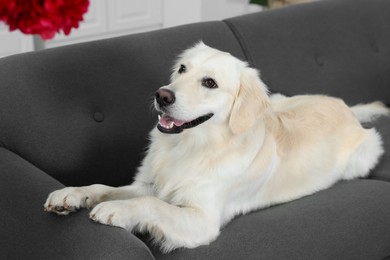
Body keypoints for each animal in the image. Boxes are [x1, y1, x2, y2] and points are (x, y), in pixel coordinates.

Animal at [44, 42, 388, 252]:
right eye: (182, 69)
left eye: (209, 83)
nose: (161, 95)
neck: (190, 146)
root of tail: (345, 106)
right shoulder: (149, 183)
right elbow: (106, 187)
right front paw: (72, 194)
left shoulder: (202, 220)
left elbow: (152, 205)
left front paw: (116, 209)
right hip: (279, 100)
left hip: (364, 153)